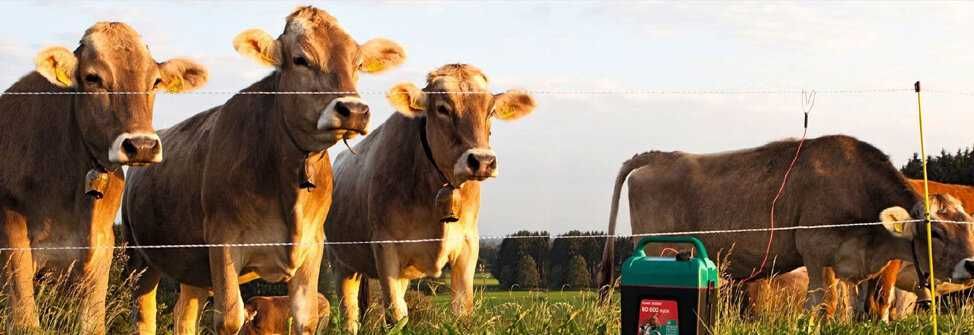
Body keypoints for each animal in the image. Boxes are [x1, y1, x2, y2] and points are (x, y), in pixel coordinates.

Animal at [0, 22, 206, 334]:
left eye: (155, 81)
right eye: (93, 78)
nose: (142, 145)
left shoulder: (100, 247)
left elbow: (92, 324)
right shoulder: (13, 236)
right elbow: (25, 320)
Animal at [123, 6, 408, 334]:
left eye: (358, 63)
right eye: (300, 59)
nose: (355, 111)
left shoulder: (313, 247)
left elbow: (305, 318)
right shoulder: (223, 243)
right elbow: (230, 318)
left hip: (192, 266)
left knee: (185, 313)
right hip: (139, 257)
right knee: (144, 313)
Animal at [326, 63, 540, 334]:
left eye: (491, 110)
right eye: (442, 108)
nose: (482, 161)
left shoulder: (468, 245)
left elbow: (462, 310)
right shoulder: (385, 246)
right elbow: (396, 315)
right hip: (341, 263)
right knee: (349, 314)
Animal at [596, 135, 974, 318]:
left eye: (968, 227)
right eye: (935, 231)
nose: (971, 264)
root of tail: (662, 155)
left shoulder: (857, 268)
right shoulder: (817, 253)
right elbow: (824, 308)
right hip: (659, 245)